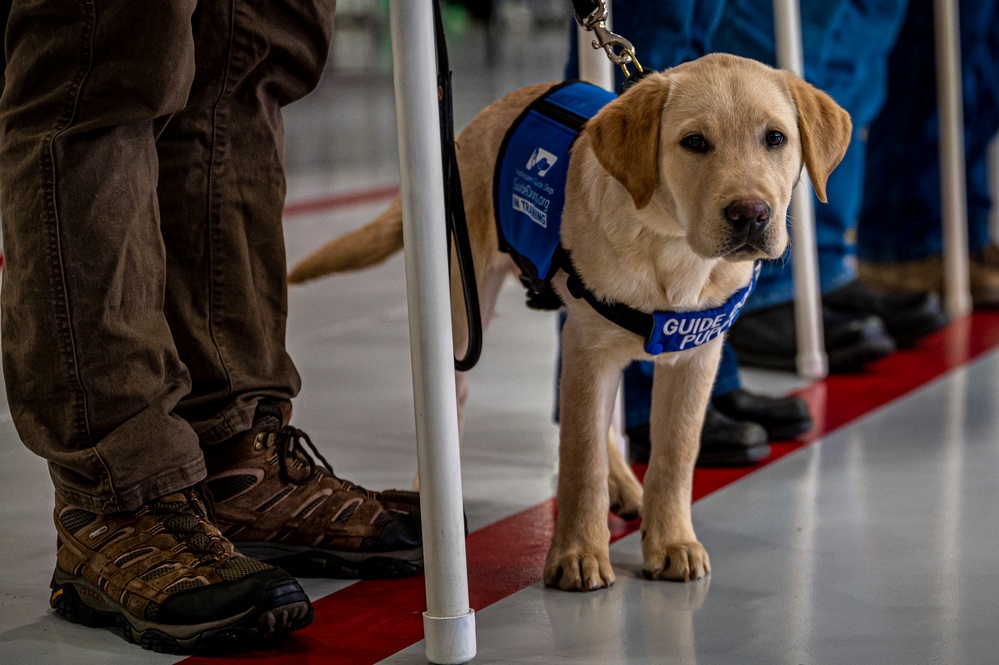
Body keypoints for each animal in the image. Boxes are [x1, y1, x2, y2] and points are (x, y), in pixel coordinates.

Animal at [288, 54, 852, 588]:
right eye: (694, 142)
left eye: (775, 137)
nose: (750, 214)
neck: (671, 250)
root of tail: (474, 124)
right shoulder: (591, 352)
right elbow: (581, 459)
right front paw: (578, 554)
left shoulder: (692, 357)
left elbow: (674, 456)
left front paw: (671, 541)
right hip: (463, 311)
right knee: (454, 401)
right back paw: (431, 503)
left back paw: (624, 485)